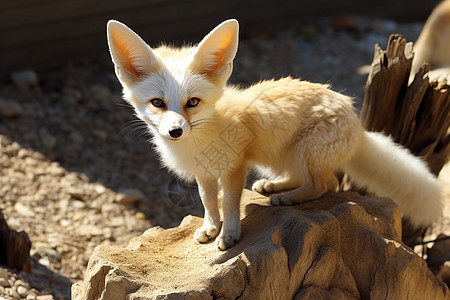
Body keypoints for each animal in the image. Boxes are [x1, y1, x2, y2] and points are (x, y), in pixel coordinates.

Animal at [106, 17, 442, 250]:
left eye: (193, 103)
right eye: (158, 103)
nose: (175, 131)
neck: (200, 139)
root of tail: (358, 123)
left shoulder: (235, 167)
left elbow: (229, 204)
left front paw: (229, 235)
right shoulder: (205, 173)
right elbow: (208, 203)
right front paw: (211, 228)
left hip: (307, 151)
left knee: (325, 185)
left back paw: (288, 199)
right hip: (283, 156)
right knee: (305, 178)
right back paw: (274, 188)